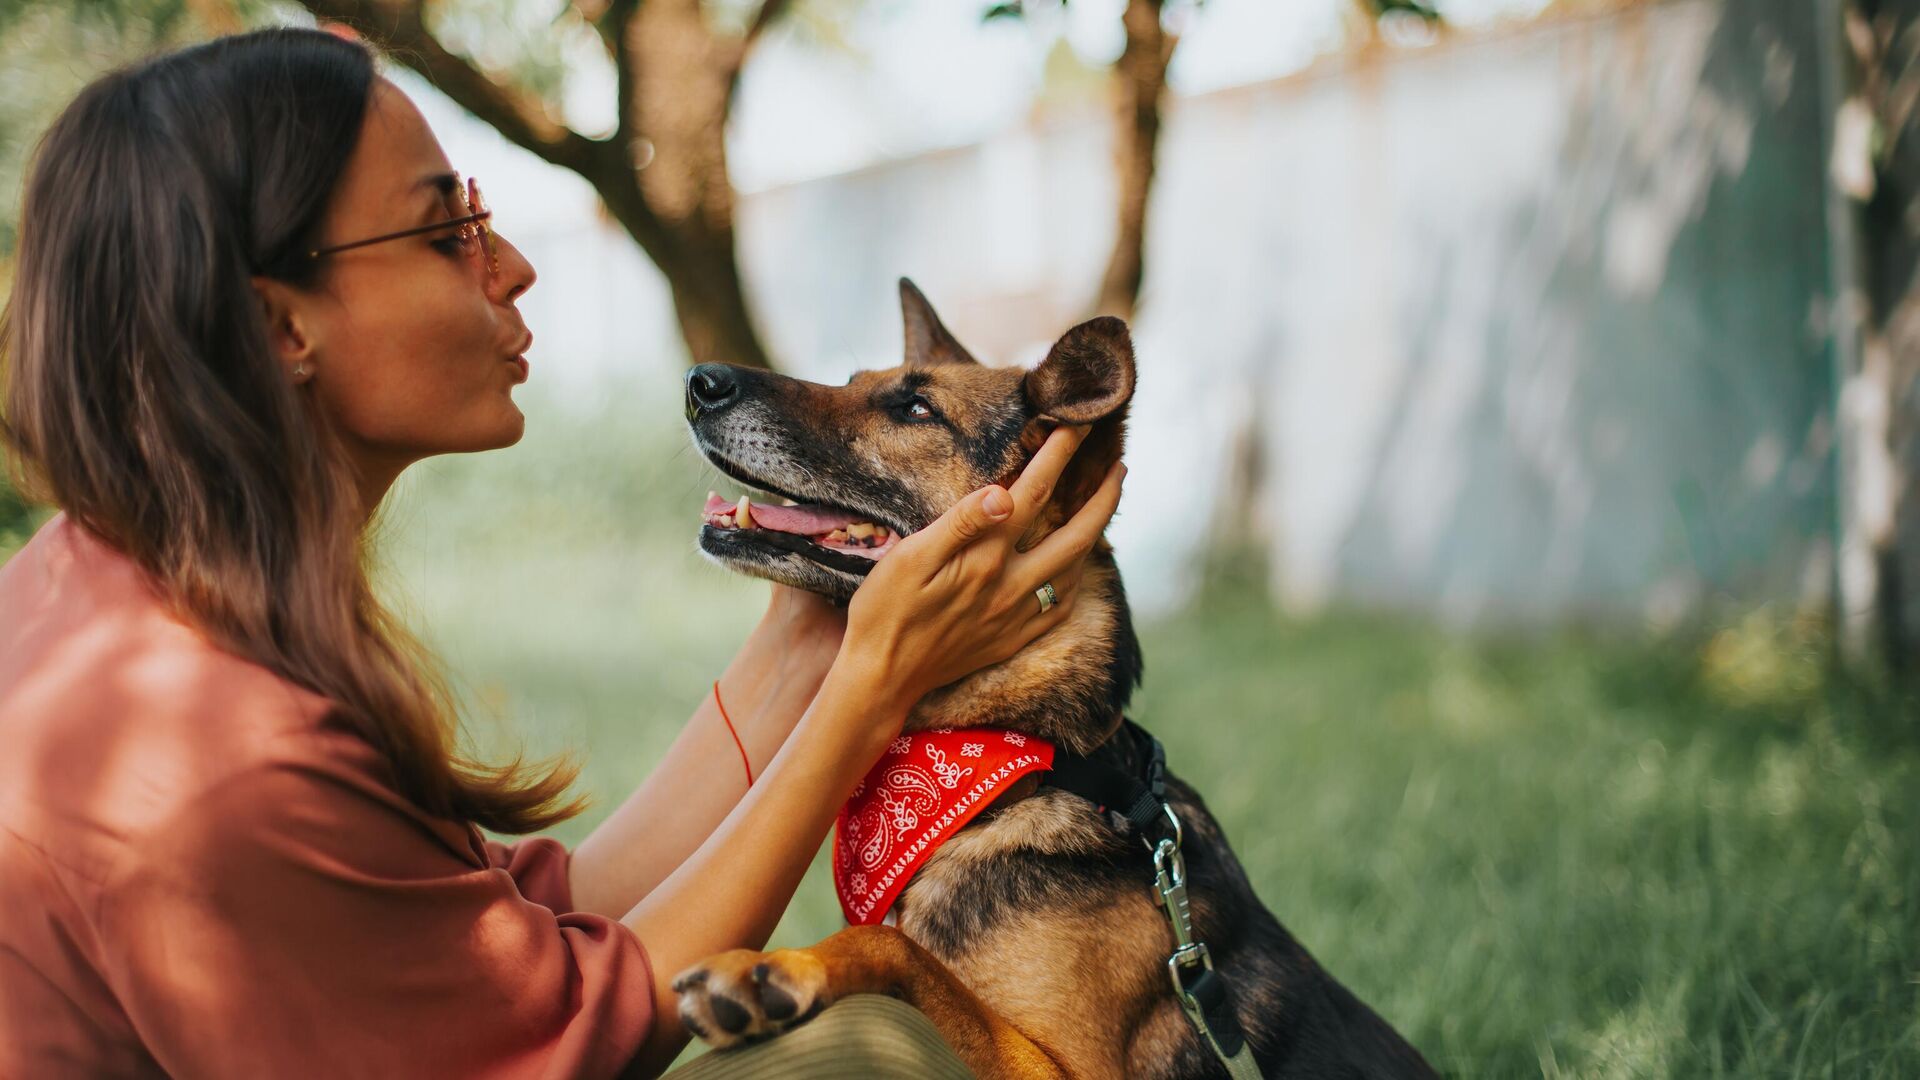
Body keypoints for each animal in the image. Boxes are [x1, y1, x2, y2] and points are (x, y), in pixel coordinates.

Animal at [668, 278, 1436, 1076]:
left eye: (917, 409)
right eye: (854, 383)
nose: (700, 382)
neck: (1032, 763)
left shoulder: (1069, 1069)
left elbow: (894, 946)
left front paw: (777, 969)